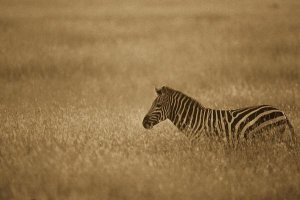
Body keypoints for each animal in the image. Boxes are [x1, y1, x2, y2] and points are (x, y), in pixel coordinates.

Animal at [142, 86, 296, 147]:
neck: (195, 120)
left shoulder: (203, 144)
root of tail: (282, 112)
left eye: (158, 105)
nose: (144, 122)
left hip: (269, 137)